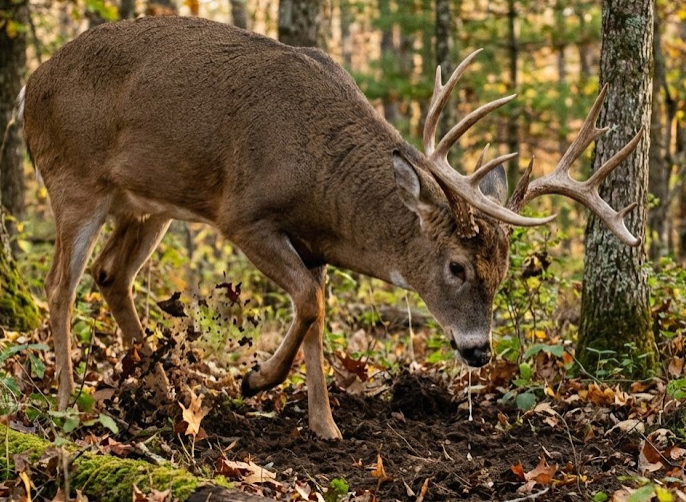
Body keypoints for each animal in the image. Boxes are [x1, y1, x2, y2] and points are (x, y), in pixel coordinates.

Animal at [21, 16, 642, 439]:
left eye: (503, 272)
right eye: (457, 266)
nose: (478, 352)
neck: (323, 179)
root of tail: (31, 85)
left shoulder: (313, 243)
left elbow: (316, 313)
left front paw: (325, 425)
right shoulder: (243, 212)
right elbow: (309, 300)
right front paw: (255, 380)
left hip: (148, 203)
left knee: (111, 275)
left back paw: (167, 391)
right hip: (74, 179)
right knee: (59, 285)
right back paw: (67, 400)